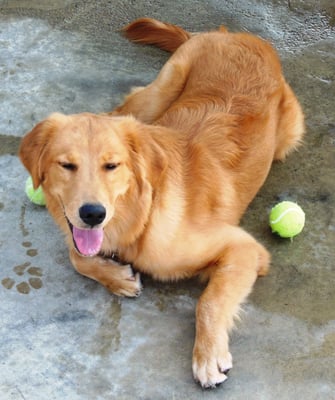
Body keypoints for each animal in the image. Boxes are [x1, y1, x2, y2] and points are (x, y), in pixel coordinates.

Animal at [19, 18, 306, 388]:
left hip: (284, 135)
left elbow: (209, 301)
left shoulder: (244, 248)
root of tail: (233, 34)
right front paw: (118, 278)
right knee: (118, 109)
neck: (140, 216)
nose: (93, 214)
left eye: (112, 166)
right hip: (156, 95)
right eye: (66, 165)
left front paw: (208, 355)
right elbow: (77, 256)